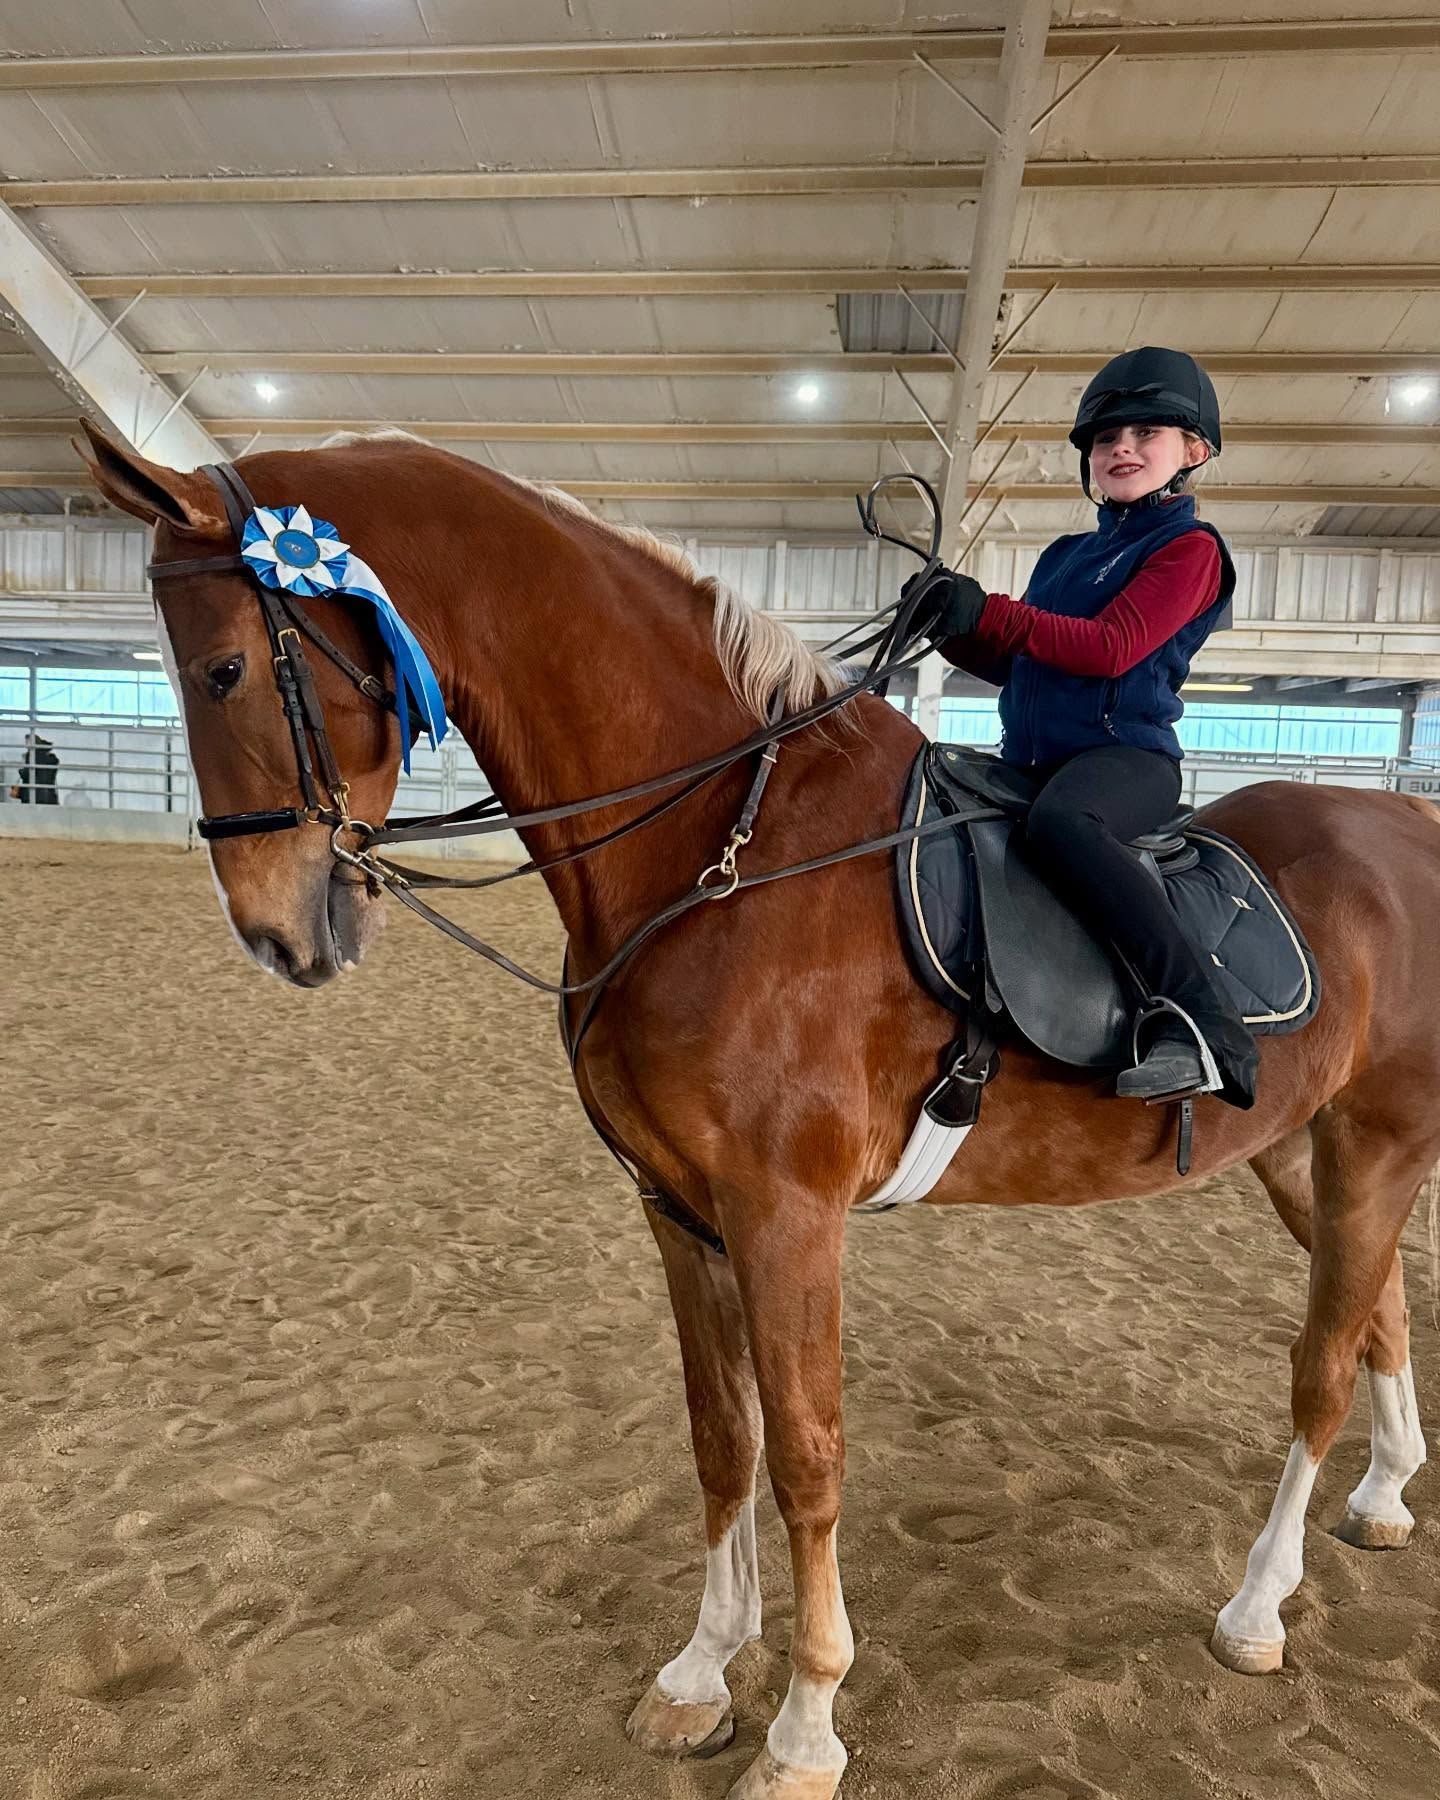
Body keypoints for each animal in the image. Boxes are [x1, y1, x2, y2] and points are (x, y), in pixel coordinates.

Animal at [81, 424, 1433, 1800]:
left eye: (229, 666)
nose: (278, 932)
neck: (717, 845)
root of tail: (1406, 826)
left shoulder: (787, 1213)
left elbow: (805, 1456)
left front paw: (805, 1725)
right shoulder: (680, 1209)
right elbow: (721, 1439)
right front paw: (697, 1676)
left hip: (1379, 1142)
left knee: (1322, 1366)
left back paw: (1259, 1607)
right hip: (1299, 1153)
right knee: (1377, 1309)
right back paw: (1383, 1500)